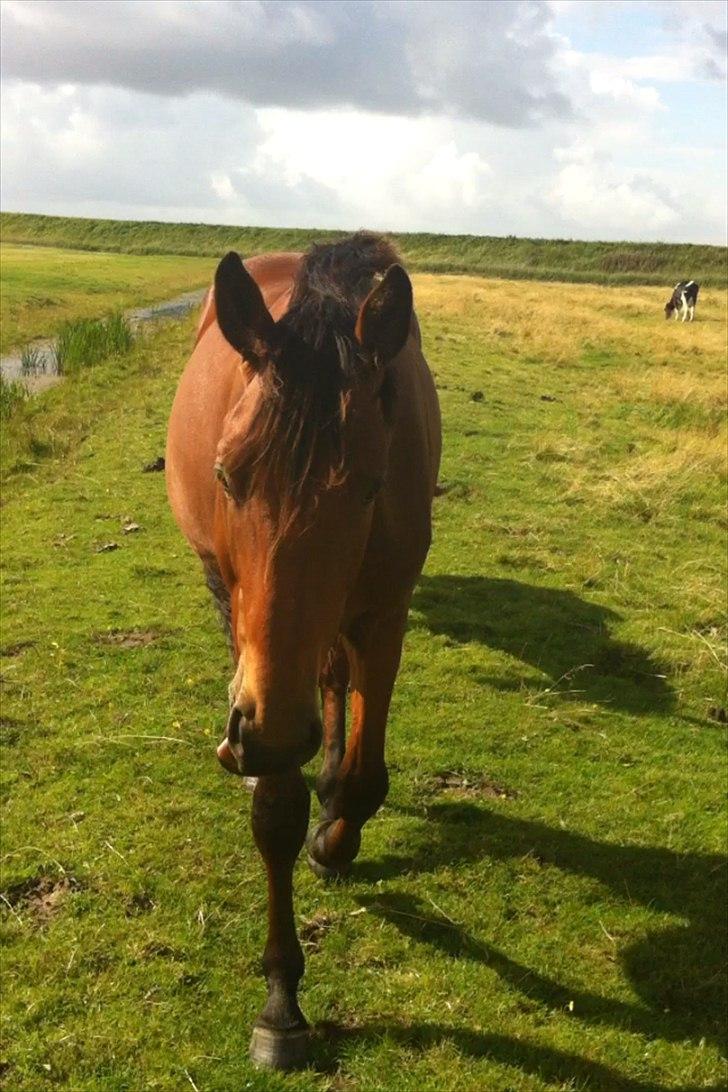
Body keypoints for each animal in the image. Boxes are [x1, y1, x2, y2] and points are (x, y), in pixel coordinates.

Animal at [165, 232, 440, 1065]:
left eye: (371, 485)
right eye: (227, 474)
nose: (272, 735)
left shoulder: (385, 612)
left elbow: (365, 777)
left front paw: (335, 838)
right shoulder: (261, 670)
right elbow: (277, 816)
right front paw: (281, 1003)